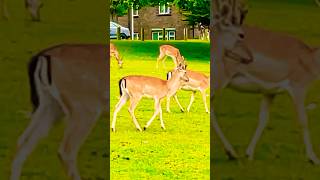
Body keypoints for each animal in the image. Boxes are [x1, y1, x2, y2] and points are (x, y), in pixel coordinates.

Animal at [211, 0, 320, 165]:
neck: (311, 61)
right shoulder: (298, 86)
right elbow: (303, 120)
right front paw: (313, 159)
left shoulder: (270, 91)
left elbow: (263, 119)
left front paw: (249, 154)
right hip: (218, 78)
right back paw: (231, 153)